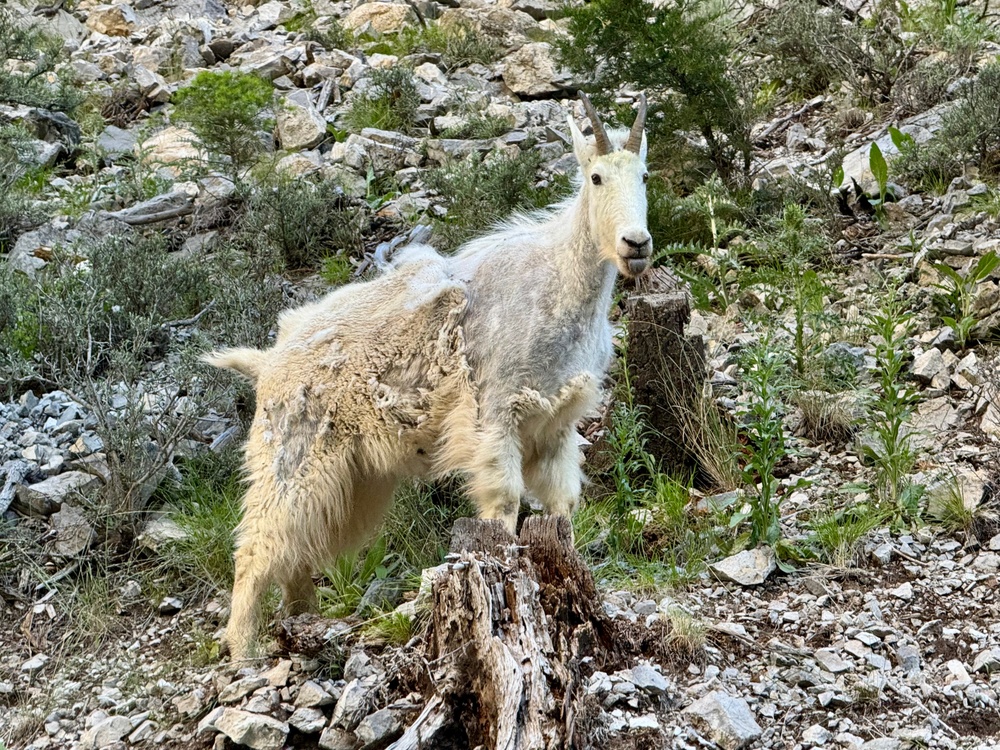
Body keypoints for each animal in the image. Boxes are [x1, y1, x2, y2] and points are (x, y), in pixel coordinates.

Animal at [205, 92, 651, 659]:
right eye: (595, 177)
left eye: (643, 174)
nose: (636, 244)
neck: (560, 284)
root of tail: (268, 360)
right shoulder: (495, 417)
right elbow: (504, 505)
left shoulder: (556, 426)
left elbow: (562, 508)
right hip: (292, 451)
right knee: (259, 542)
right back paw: (244, 648)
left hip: (351, 476)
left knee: (298, 547)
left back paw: (302, 620)